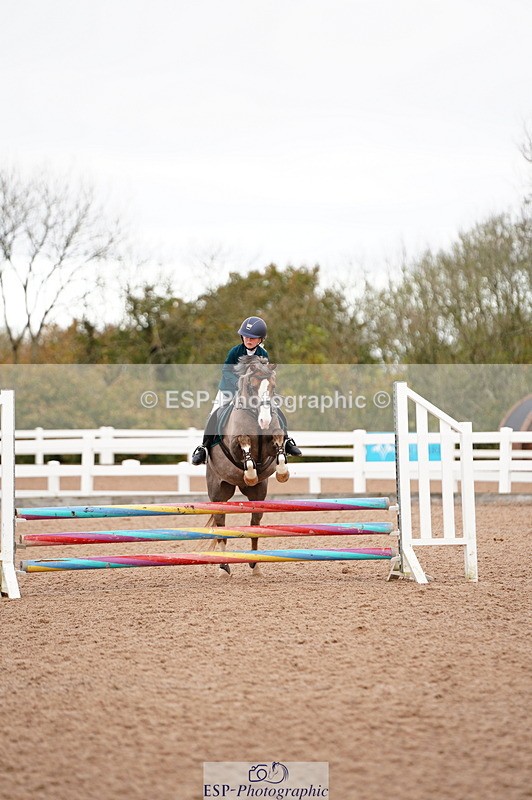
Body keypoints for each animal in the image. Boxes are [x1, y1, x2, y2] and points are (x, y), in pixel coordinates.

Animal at [205, 355, 290, 575]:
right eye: (252, 387)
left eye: (273, 386)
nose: (264, 420)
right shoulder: (236, 444)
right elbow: (244, 445)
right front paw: (250, 475)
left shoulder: (272, 442)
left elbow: (278, 439)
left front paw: (282, 472)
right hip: (218, 492)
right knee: (221, 525)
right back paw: (224, 568)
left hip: (258, 494)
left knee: (254, 524)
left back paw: (256, 565)